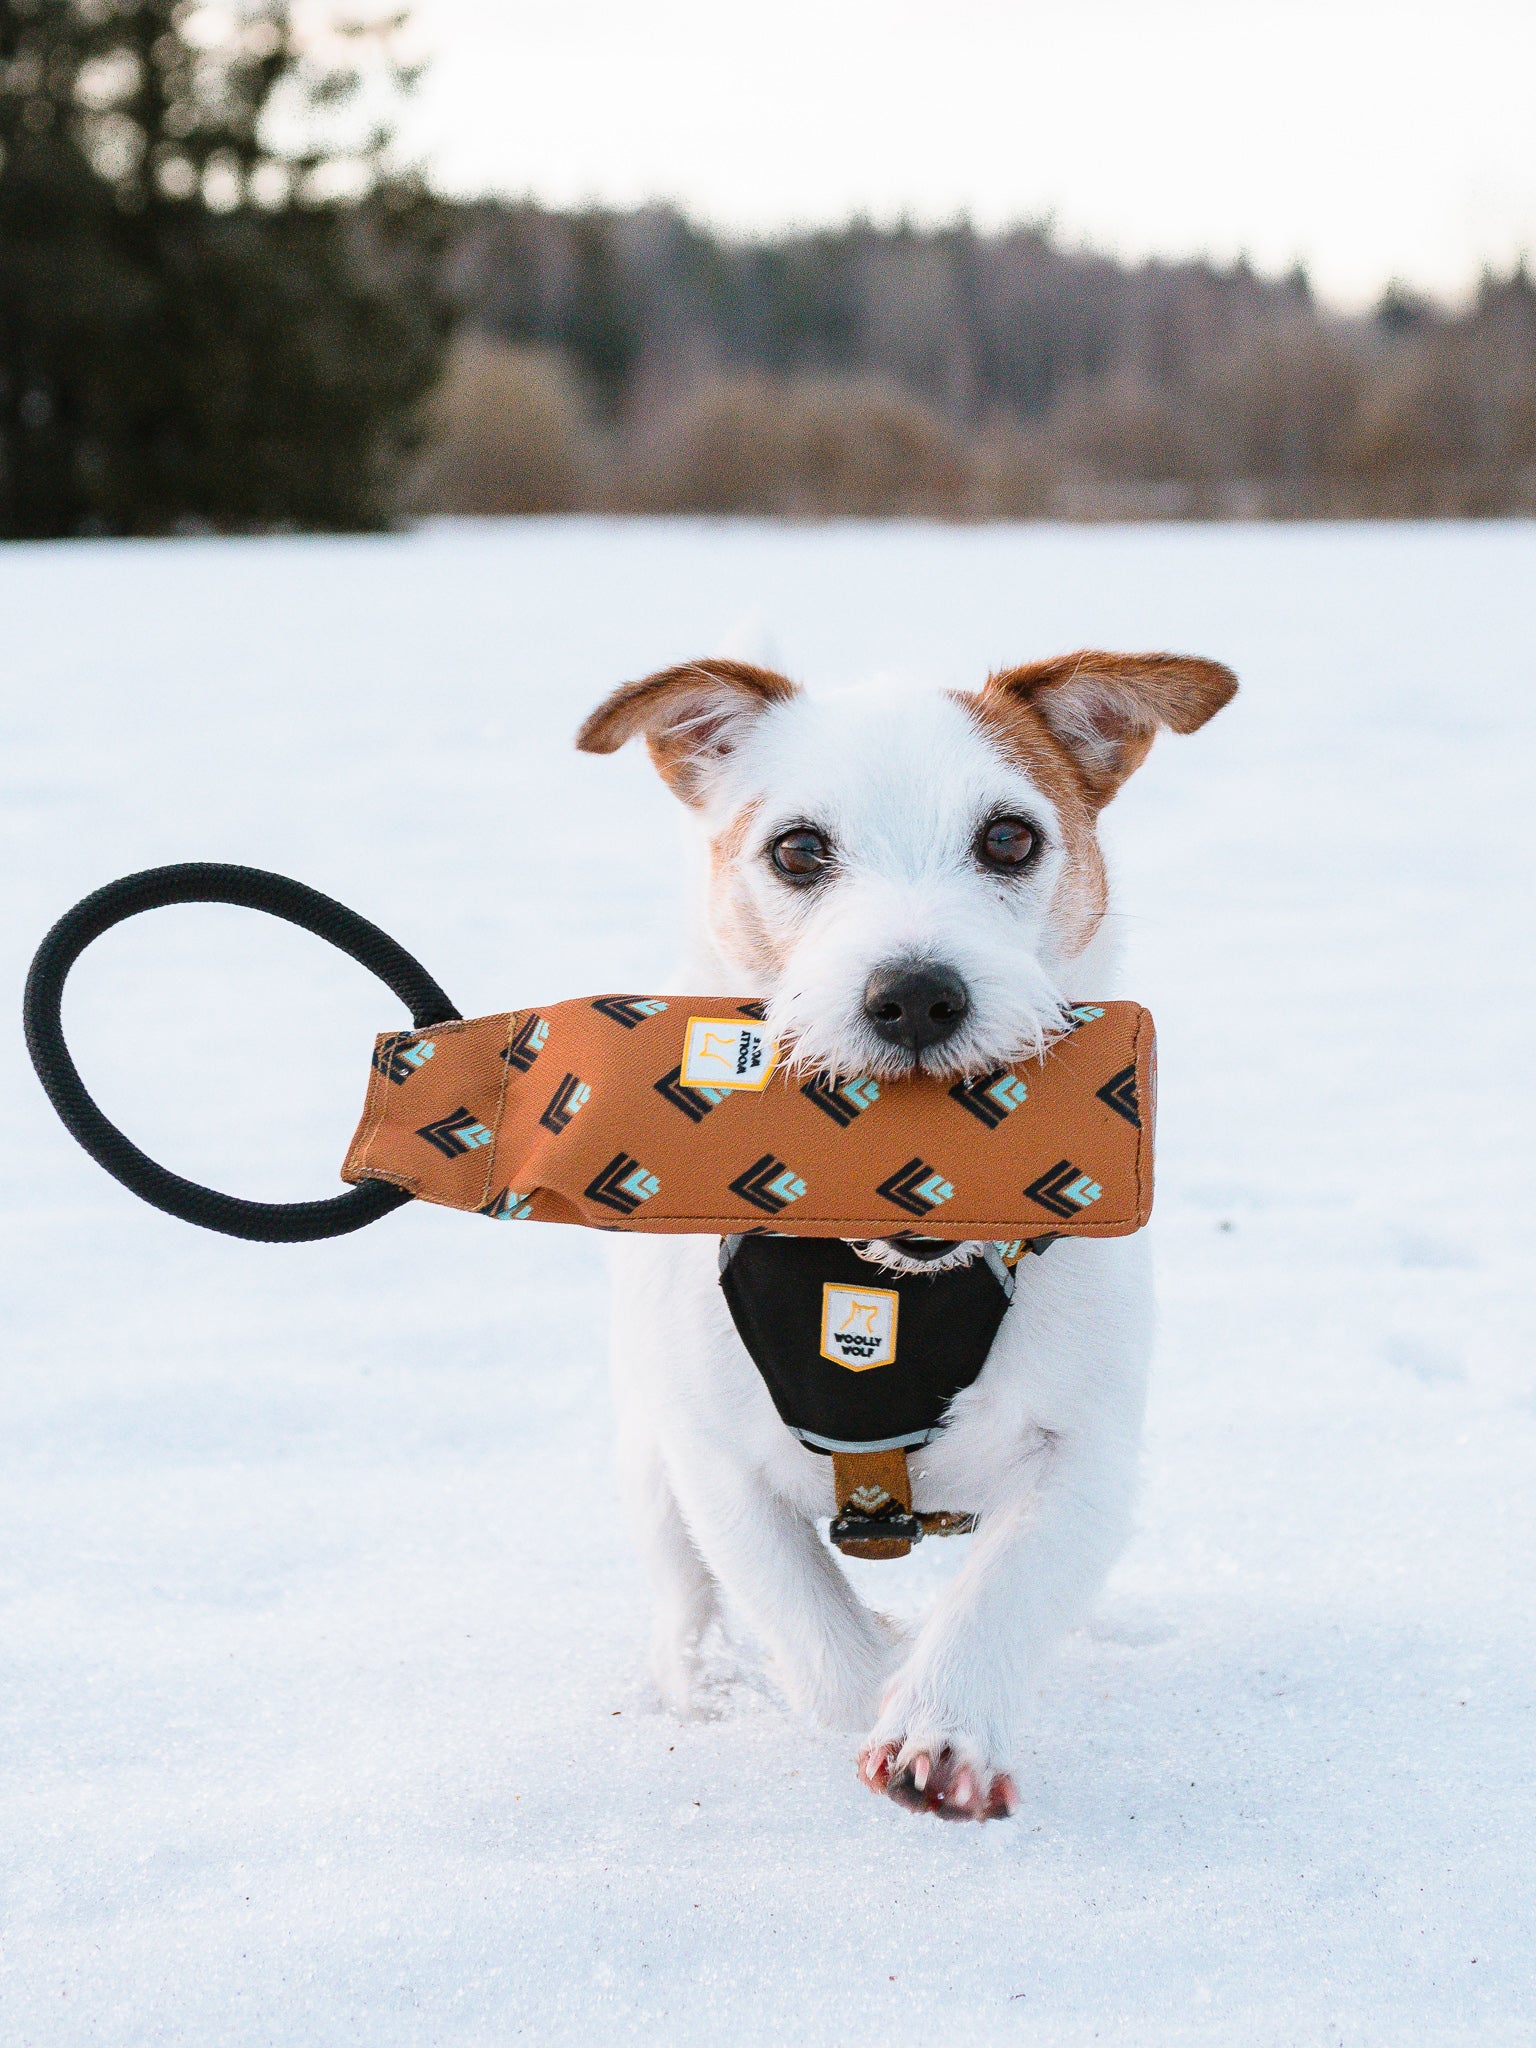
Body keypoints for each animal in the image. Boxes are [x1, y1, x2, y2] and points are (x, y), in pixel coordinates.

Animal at [577, 647, 1236, 1818]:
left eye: (1009, 837)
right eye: (798, 848)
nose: (917, 994)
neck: (890, 1277)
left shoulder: (1089, 1455)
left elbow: (1007, 1594)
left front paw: (942, 1723)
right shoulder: (715, 1458)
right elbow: (807, 1625)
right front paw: (876, 1680)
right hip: (647, 1450)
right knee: (684, 1594)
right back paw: (702, 1686)